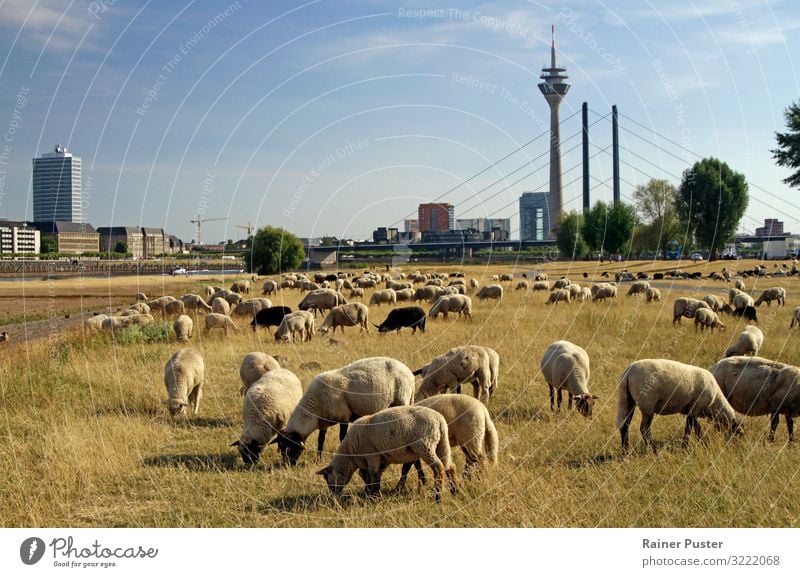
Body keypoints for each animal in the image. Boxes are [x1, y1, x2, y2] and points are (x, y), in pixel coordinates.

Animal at [276, 354, 416, 466]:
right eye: (281, 448)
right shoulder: (323, 423)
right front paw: (318, 460)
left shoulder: (344, 417)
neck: (315, 405)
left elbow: (341, 437)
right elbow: (320, 440)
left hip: (402, 399)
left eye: (290, 448)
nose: (286, 465)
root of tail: (409, 373)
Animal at [318, 402, 460, 502]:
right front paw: (372, 493)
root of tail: (440, 420)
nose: (334, 498)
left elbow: (372, 475)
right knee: (450, 466)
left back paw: (438, 497)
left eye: (328, 480)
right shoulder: (382, 459)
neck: (350, 454)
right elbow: (372, 476)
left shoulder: (372, 456)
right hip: (441, 444)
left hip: (425, 445)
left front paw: (372, 496)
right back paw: (454, 491)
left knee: (439, 468)